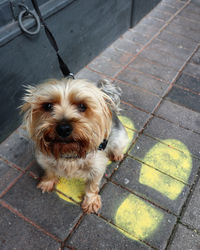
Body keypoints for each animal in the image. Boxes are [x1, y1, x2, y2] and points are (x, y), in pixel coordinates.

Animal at [21, 78, 128, 213]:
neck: (69, 151)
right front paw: (47, 182)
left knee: (118, 146)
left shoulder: (97, 166)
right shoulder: (45, 159)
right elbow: (50, 171)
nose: (63, 128)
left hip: (119, 139)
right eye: (48, 106)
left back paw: (117, 155)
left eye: (82, 106)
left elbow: (92, 185)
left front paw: (91, 201)